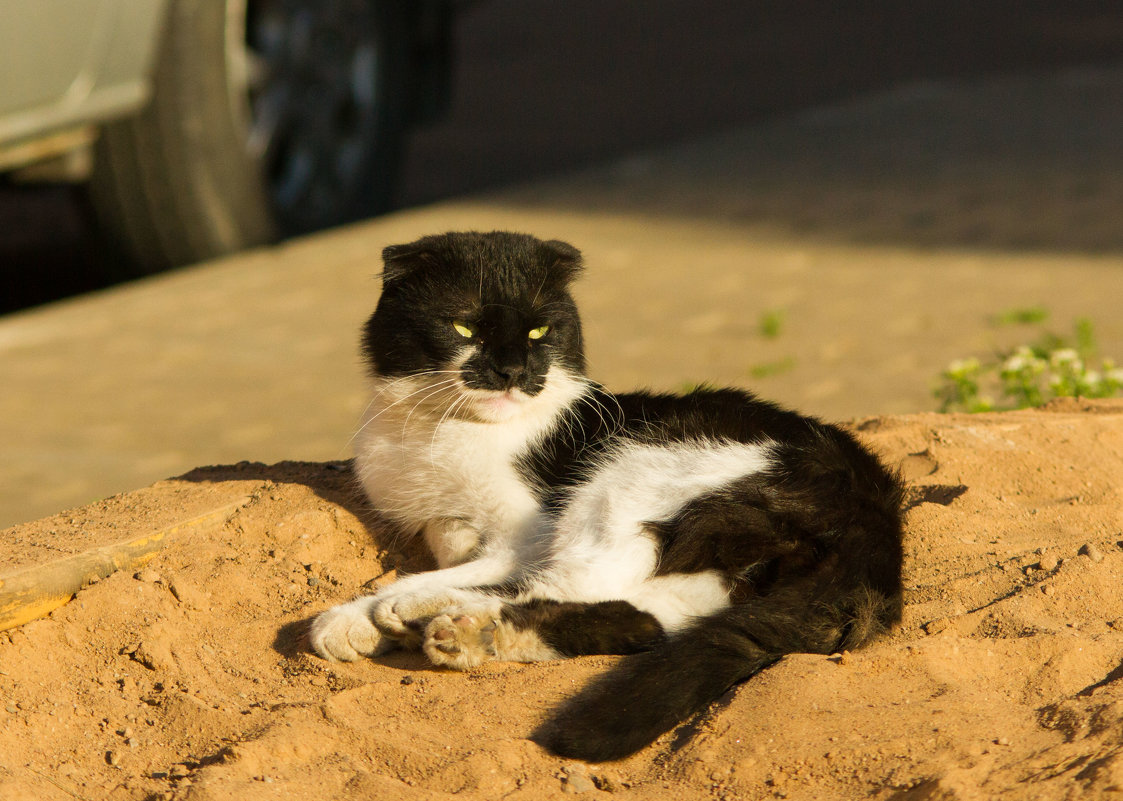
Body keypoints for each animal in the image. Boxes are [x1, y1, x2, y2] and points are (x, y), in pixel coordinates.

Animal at [307, 231, 902, 763]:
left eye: (539, 331)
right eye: (464, 326)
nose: (513, 371)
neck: (438, 429)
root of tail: (874, 511)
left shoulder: (524, 534)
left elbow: (443, 573)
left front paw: (355, 615)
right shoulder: (442, 523)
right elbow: (452, 550)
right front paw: (365, 618)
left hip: (630, 476)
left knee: (575, 582)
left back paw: (431, 616)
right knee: (644, 619)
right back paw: (475, 636)